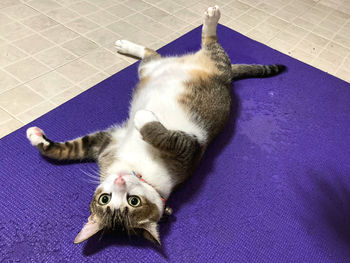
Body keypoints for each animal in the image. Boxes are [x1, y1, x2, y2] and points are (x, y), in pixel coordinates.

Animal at [26, 5, 284, 246]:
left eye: (133, 202)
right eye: (105, 199)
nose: (120, 181)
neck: (135, 168)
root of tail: (228, 80)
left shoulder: (185, 148)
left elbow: (160, 134)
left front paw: (142, 117)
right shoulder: (106, 143)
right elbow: (68, 149)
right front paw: (37, 137)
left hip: (207, 63)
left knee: (204, 43)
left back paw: (206, 18)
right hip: (153, 69)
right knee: (159, 52)